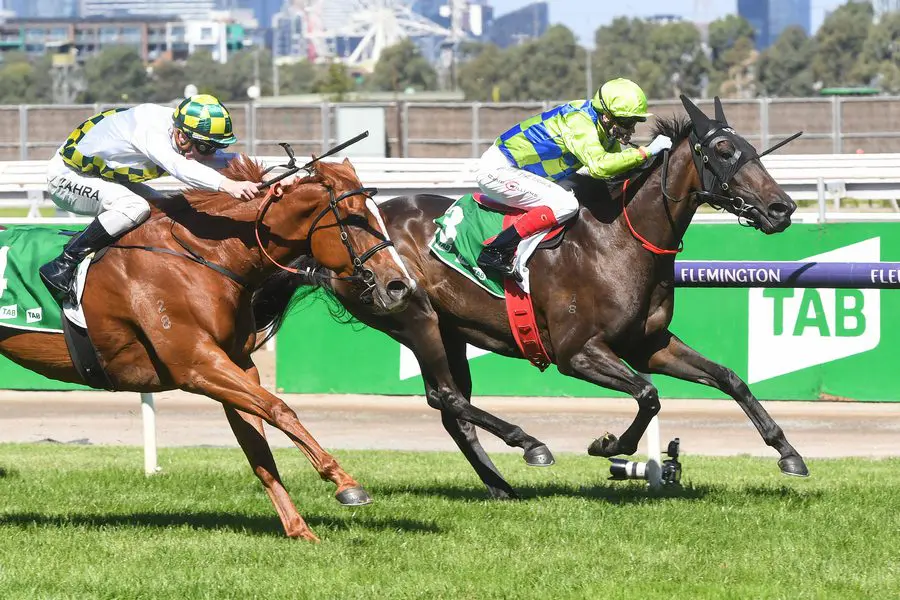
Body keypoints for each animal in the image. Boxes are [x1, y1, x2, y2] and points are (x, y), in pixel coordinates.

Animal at [0, 155, 414, 544]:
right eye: (356, 218)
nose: (399, 285)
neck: (204, 255)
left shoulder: (238, 365)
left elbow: (259, 446)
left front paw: (299, 529)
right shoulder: (197, 365)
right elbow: (280, 409)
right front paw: (346, 484)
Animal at [251, 95, 808, 502]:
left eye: (752, 148)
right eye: (724, 151)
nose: (782, 208)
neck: (617, 239)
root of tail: (332, 234)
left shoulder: (648, 343)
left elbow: (728, 378)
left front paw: (788, 452)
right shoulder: (577, 352)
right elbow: (648, 395)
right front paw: (611, 445)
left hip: (450, 330)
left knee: (453, 409)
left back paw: (500, 485)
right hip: (412, 316)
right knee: (446, 396)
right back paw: (530, 445)